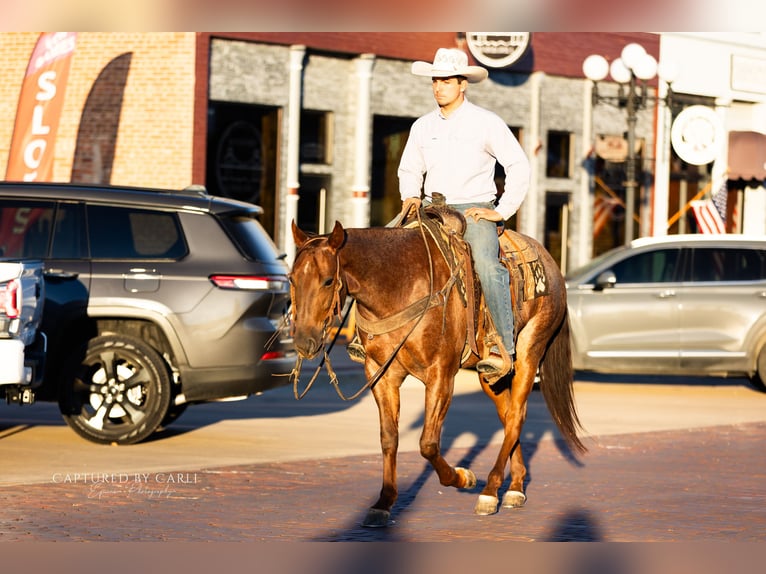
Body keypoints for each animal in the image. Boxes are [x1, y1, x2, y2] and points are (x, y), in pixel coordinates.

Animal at [288, 213, 585, 527]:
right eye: (292, 279)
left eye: (327, 281)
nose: (304, 341)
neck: (400, 285)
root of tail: (551, 262)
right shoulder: (380, 374)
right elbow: (389, 438)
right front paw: (384, 501)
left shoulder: (441, 374)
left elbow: (428, 443)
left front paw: (464, 477)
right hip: (490, 375)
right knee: (508, 417)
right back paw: (515, 487)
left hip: (530, 350)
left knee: (516, 415)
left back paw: (490, 491)